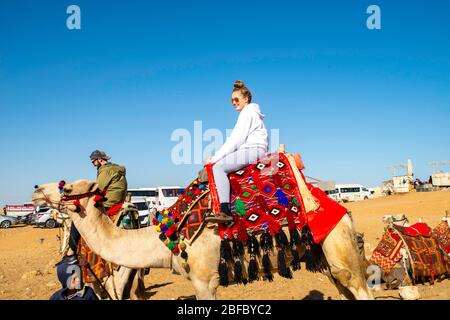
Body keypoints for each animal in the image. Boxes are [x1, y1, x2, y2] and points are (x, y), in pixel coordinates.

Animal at [33, 180, 374, 300]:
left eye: (65, 188)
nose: (36, 190)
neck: (163, 238)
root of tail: (343, 210)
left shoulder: (204, 278)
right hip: (328, 259)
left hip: (339, 250)